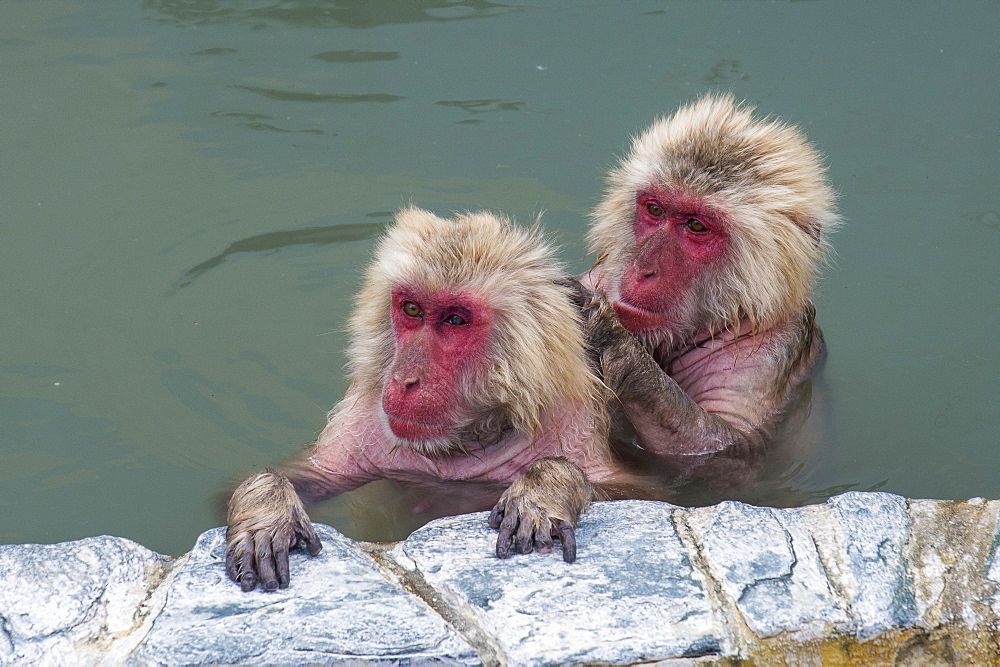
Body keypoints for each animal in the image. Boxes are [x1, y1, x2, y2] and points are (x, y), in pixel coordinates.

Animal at [229, 206, 632, 592]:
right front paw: (267, 512)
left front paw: (546, 488)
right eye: (412, 309)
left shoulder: (570, 423)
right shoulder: (361, 428)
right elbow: (306, 479)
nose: (405, 380)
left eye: (455, 319)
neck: (462, 443)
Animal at [584, 94, 840, 488]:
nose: (643, 270)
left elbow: (729, 453)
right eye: (655, 209)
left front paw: (616, 345)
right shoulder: (596, 279)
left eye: (696, 226)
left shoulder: (767, 347)